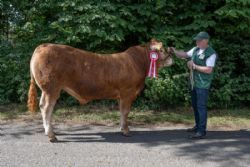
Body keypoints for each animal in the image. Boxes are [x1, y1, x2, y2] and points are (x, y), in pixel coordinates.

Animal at [26, 38, 172, 141]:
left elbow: (121, 112)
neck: (137, 62)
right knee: (46, 107)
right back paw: (51, 135)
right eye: (161, 49)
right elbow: (125, 112)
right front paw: (126, 131)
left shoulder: (121, 95)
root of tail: (43, 46)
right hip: (51, 88)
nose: (171, 55)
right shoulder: (127, 92)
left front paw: (121, 128)